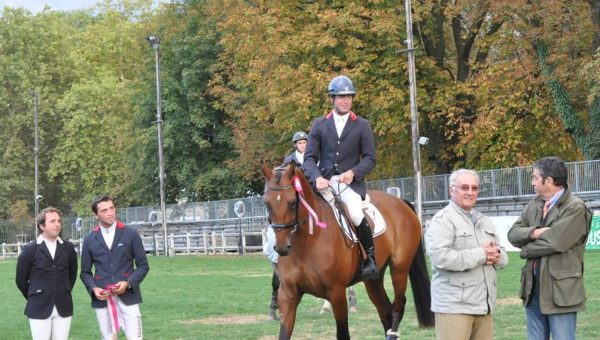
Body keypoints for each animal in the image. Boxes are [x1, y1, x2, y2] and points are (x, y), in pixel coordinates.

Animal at [260, 163, 434, 340]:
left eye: (292, 203)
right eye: (267, 203)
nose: (282, 248)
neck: (307, 242)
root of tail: (400, 202)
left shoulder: (336, 293)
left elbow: (343, 333)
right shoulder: (288, 295)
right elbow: (284, 333)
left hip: (399, 268)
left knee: (399, 305)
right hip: (374, 279)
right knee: (386, 310)